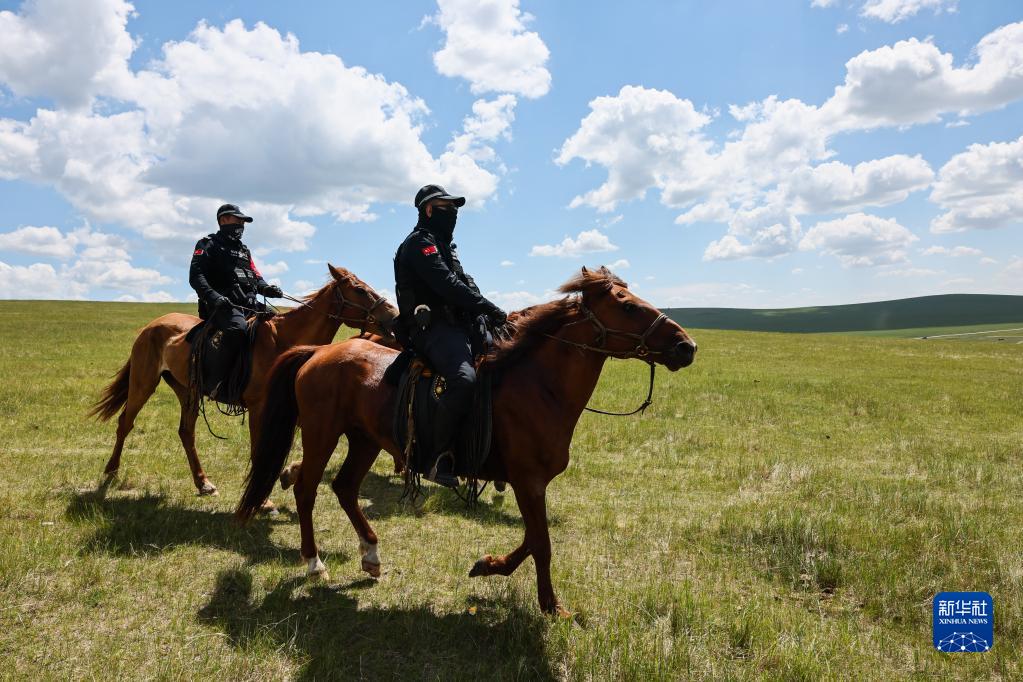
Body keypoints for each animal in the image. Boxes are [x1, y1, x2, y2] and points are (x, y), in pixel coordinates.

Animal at [90, 265, 396, 496]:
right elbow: (259, 448)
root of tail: (152, 326)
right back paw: (111, 471)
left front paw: (289, 474)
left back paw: (203, 482)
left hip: (187, 391)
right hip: (143, 384)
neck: (284, 341)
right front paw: (268, 499)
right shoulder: (260, 408)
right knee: (125, 422)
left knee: (186, 432)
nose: (393, 316)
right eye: (360, 290)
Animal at [234, 267, 695, 617]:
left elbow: (533, 538)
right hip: (321, 433)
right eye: (629, 306)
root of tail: (317, 353)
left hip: (365, 440)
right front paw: (551, 606)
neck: (539, 386)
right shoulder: (528, 481)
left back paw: (371, 555)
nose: (686, 346)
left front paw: (487, 566)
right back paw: (314, 563)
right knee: (307, 488)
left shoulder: (529, 484)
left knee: (344, 488)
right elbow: (541, 542)